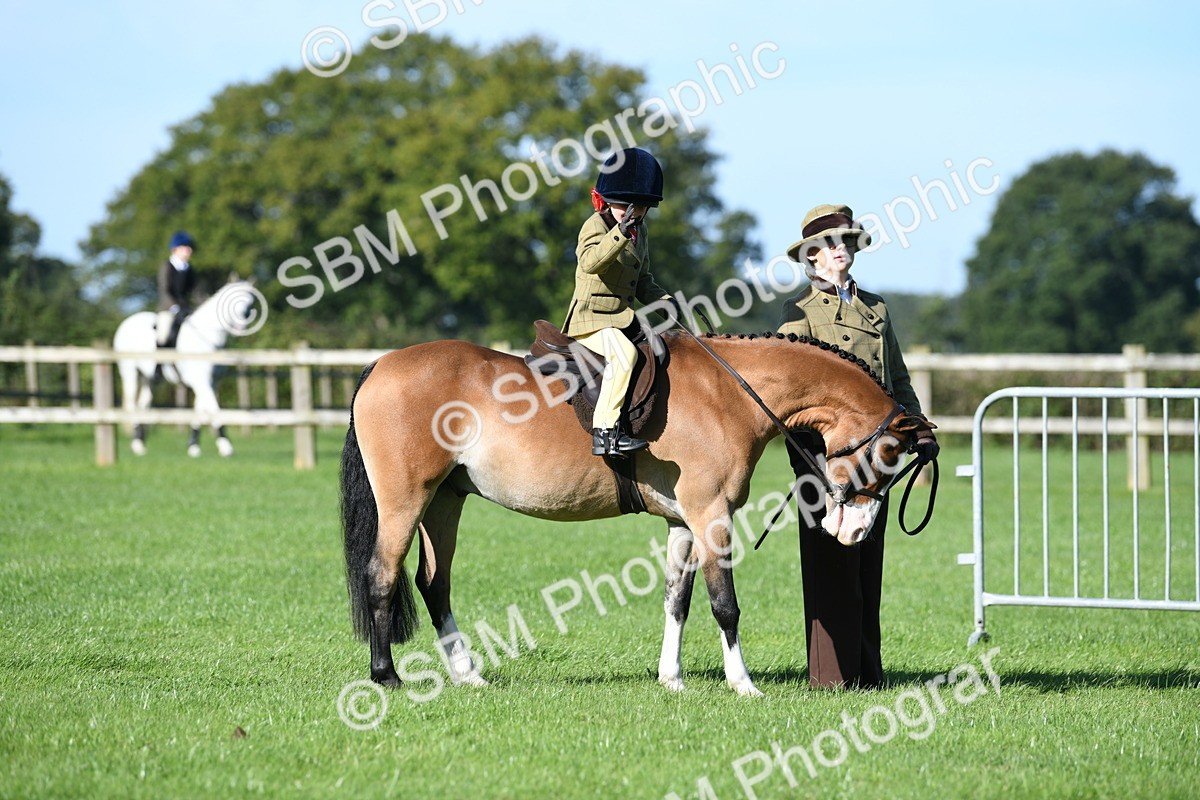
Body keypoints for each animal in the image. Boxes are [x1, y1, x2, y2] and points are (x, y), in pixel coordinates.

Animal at [113, 279, 261, 458]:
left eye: (251, 301)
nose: (241, 326)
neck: (209, 338)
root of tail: (127, 321)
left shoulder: (211, 382)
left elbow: (201, 411)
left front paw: (193, 446)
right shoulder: (201, 381)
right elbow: (214, 409)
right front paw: (226, 447)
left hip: (151, 380)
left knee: (144, 406)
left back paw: (139, 445)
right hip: (130, 372)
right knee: (132, 405)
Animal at [340, 330, 932, 696]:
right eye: (888, 455)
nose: (857, 531)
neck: (728, 393)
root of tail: (381, 364)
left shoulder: (682, 523)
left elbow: (678, 600)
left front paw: (673, 678)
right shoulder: (711, 516)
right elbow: (725, 606)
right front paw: (742, 684)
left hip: (445, 501)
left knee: (433, 583)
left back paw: (466, 675)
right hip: (406, 500)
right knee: (382, 575)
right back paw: (386, 676)